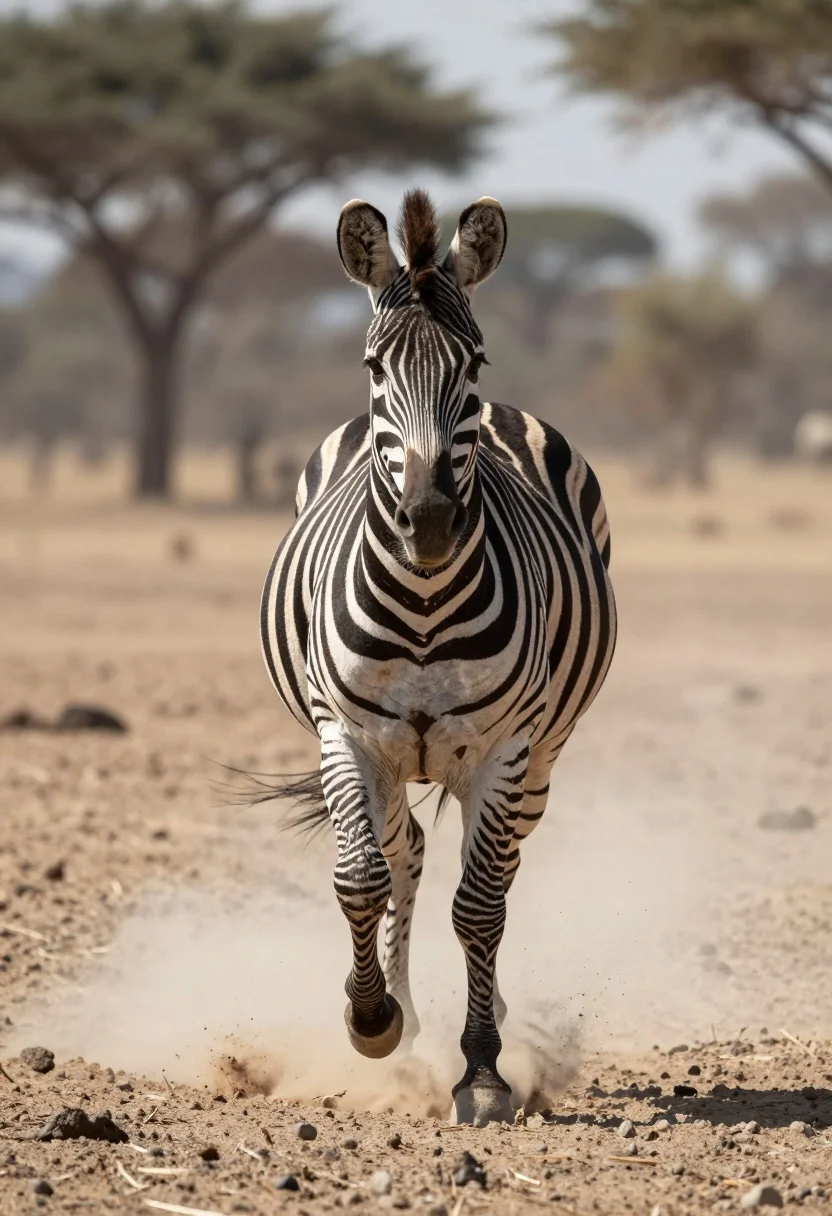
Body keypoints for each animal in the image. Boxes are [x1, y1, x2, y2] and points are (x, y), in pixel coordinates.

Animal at [259, 189, 617, 1125]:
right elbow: (359, 878)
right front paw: (371, 1018)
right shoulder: (345, 733)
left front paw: (483, 1070)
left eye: (475, 362)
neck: (423, 604)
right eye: (373, 366)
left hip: (537, 758)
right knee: (406, 850)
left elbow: (481, 908)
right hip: (392, 757)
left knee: (490, 869)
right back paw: (406, 1015)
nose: (427, 521)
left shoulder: (506, 746)